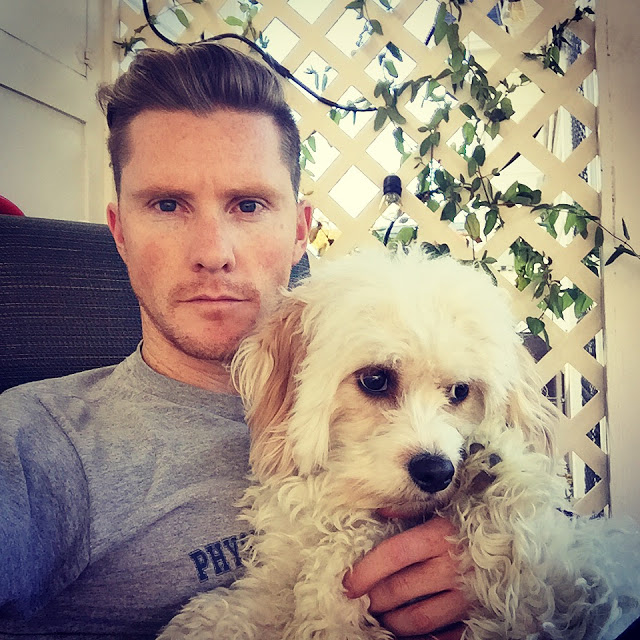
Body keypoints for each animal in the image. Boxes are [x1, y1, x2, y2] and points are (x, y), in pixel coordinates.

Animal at [159, 248, 640, 640]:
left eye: (460, 391)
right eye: (375, 379)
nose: (437, 471)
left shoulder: (544, 591)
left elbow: (542, 581)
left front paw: (499, 479)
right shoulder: (281, 574)